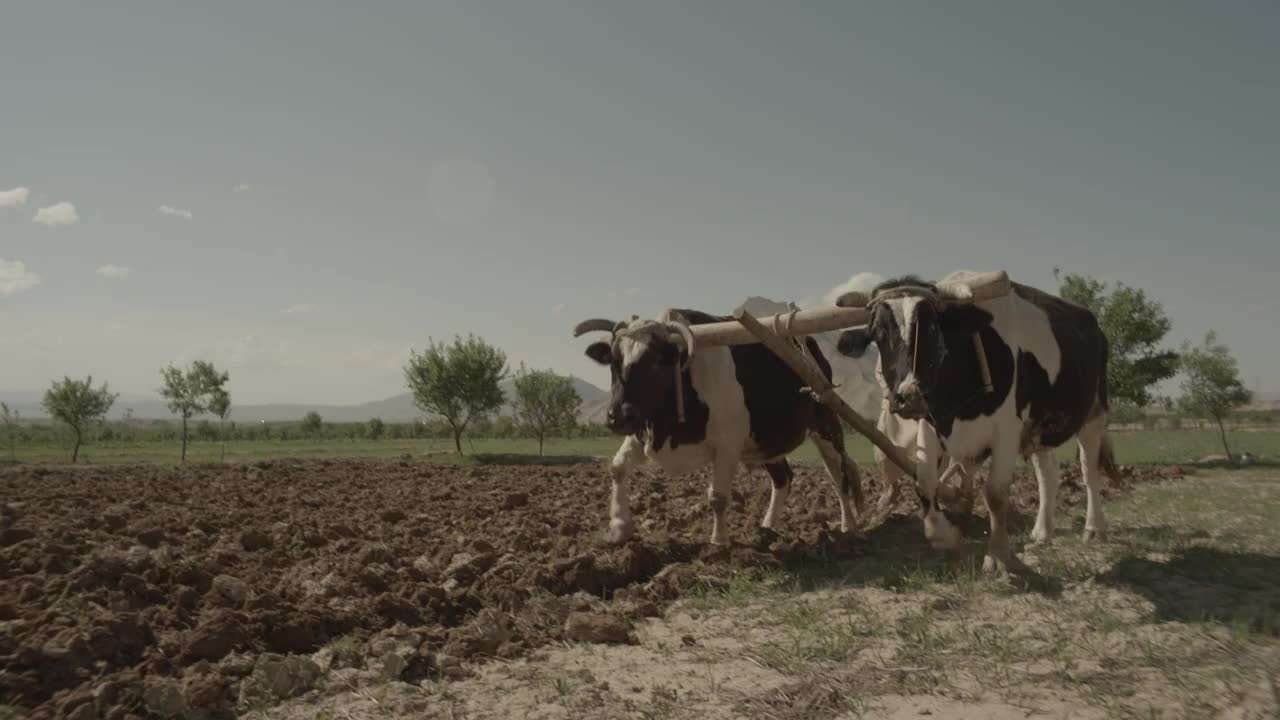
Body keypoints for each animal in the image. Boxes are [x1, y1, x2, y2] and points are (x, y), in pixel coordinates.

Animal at [578, 308, 860, 543]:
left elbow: (718, 497)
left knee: (839, 476)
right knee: (784, 479)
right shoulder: (642, 432)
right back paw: (767, 528)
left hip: (827, 424)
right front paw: (619, 527)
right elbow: (617, 467)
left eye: (657, 361)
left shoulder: (727, 446)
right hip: (766, 442)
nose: (617, 416)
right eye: (613, 361)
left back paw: (848, 527)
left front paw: (719, 541)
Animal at [834, 270, 1116, 571]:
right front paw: (947, 536)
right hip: (1039, 428)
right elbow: (924, 484)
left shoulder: (1007, 430)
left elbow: (995, 494)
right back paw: (1042, 531)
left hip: (1094, 413)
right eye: (878, 334)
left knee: (1088, 470)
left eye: (932, 328)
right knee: (1048, 475)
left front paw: (998, 554)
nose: (908, 396)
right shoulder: (931, 425)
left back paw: (1094, 528)